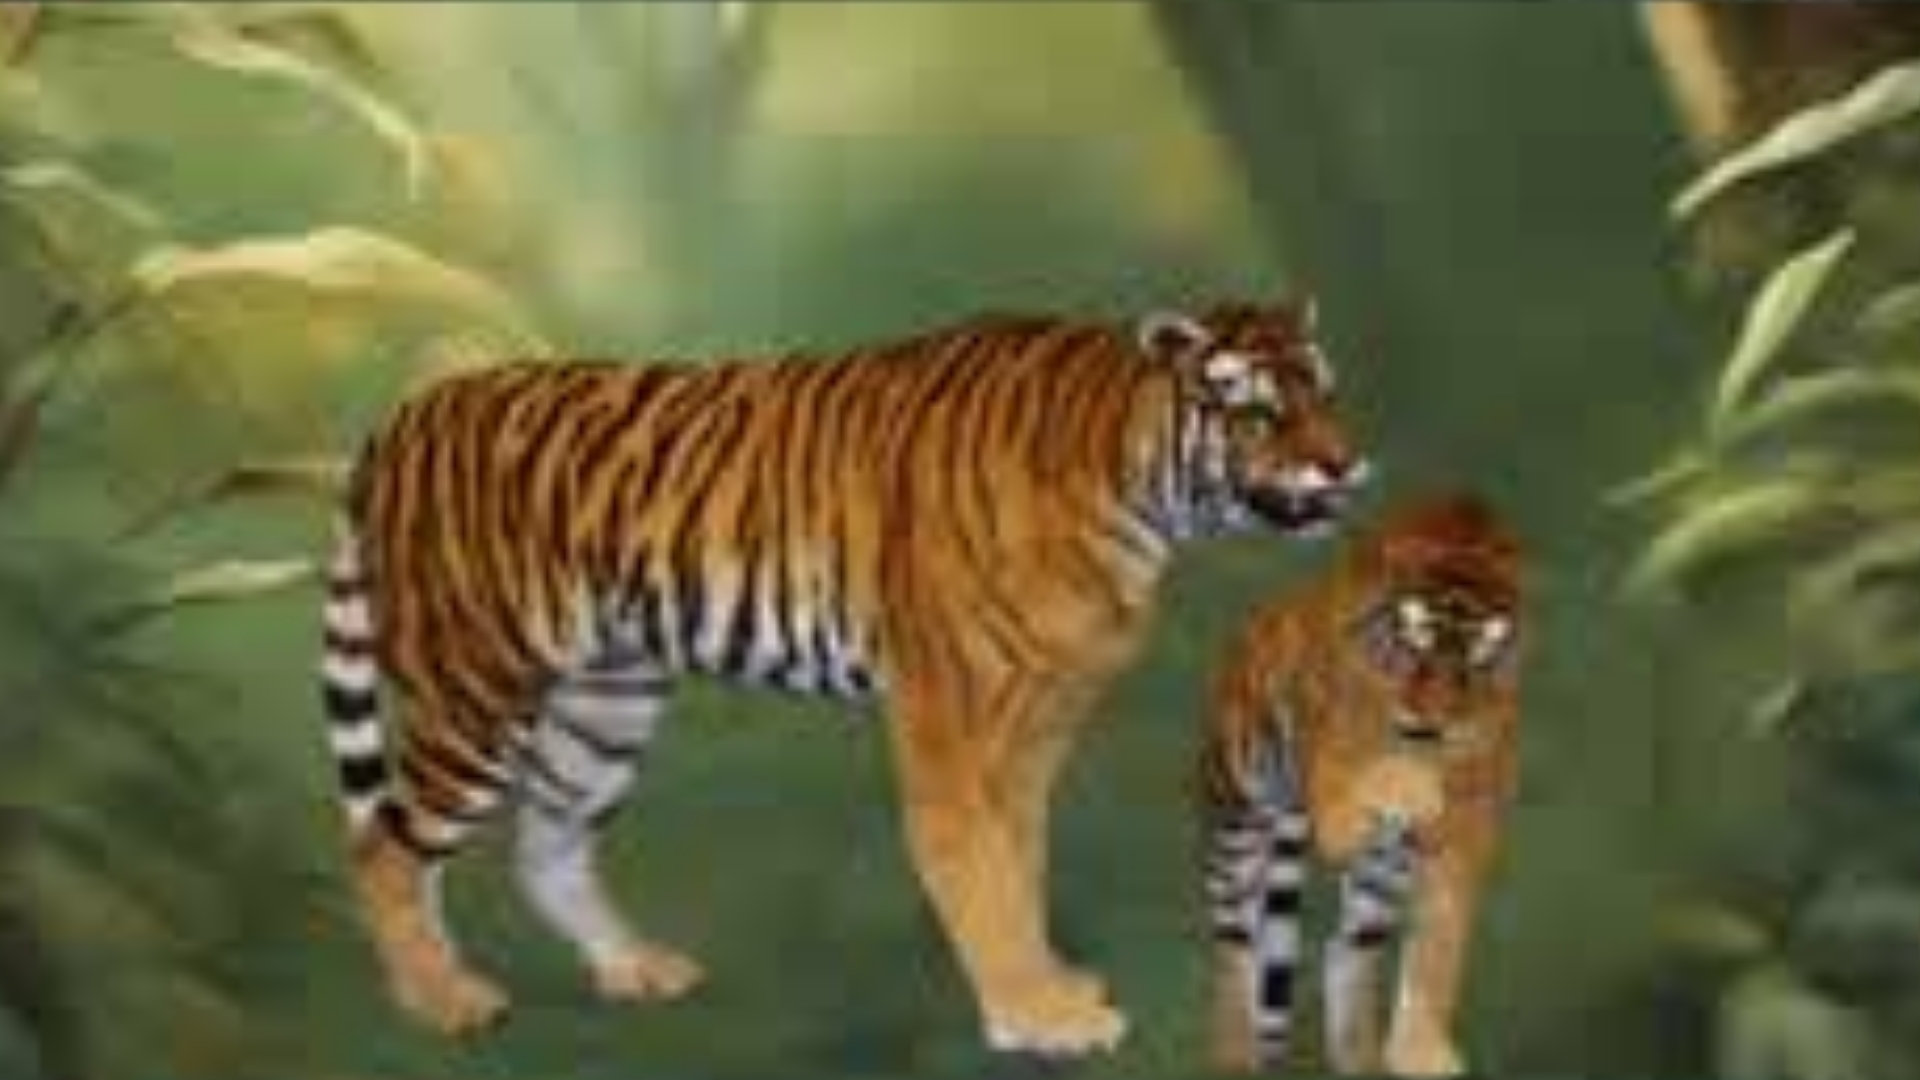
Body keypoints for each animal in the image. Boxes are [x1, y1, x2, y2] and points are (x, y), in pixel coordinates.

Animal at [318, 298, 1368, 1054]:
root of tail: (402, 417)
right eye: (1257, 409)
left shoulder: (1038, 722)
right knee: (386, 846)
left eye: (1326, 391)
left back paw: (635, 969)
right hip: (473, 692)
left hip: (604, 699)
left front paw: (1049, 985)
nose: (1345, 467)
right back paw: (444, 1000)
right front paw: (1039, 1018)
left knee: (548, 842)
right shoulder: (948, 717)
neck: (1137, 497)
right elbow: (975, 865)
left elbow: (1021, 859)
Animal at [1197, 494, 1523, 1077]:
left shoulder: (1466, 833)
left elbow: (1439, 944)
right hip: (1237, 812)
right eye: (1412, 643)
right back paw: (1235, 1051)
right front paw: (1405, 780)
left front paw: (1421, 1051)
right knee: (1235, 936)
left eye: (1474, 663)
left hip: (1380, 877)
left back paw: (1359, 1056)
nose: (1433, 719)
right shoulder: (1334, 791)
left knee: (1345, 951)